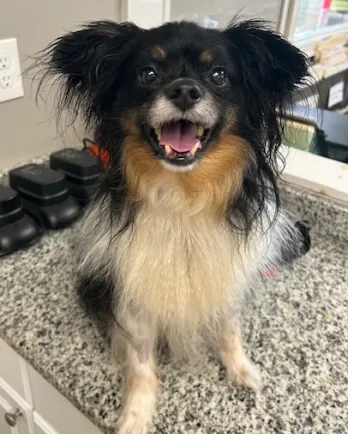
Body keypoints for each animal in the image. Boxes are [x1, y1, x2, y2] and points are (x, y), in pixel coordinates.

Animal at [36, 20, 308, 434]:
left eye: (219, 75)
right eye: (148, 74)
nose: (184, 90)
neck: (183, 195)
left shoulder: (225, 279)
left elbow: (229, 331)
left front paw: (241, 370)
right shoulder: (133, 297)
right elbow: (141, 364)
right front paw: (136, 415)